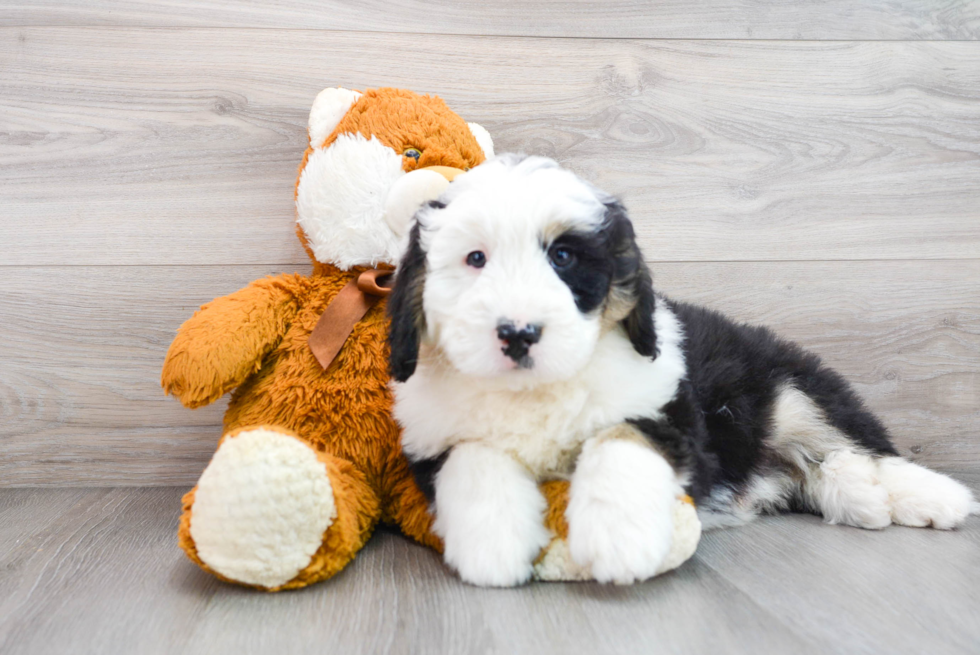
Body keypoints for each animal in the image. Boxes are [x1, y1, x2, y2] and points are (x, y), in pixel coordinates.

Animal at [386, 155, 976, 588]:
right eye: (475, 259)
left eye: (563, 257)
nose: (517, 333)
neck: (534, 390)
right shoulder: (434, 436)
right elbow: (474, 459)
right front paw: (493, 543)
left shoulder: (665, 409)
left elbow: (620, 443)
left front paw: (619, 540)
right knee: (821, 470)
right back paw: (860, 497)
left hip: (791, 391)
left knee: (861, 446)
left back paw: (931, 498)